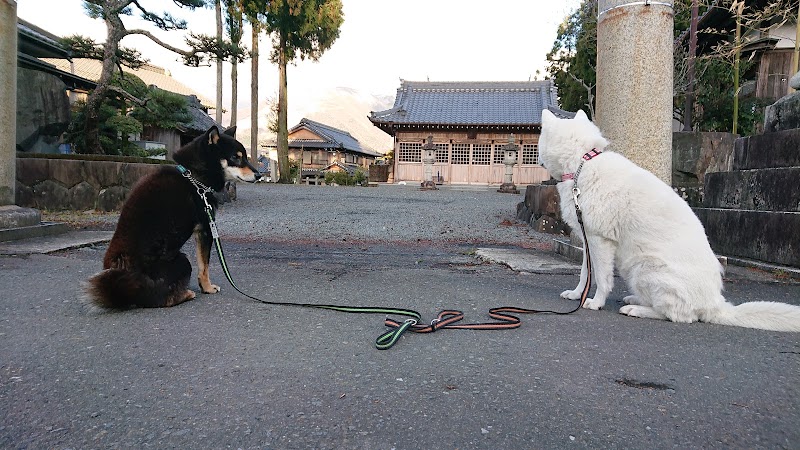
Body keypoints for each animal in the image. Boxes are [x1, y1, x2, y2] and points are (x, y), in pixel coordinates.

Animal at [87, 126, 262, 310]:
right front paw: (207, 288)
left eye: (244, 156)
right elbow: (204, 266)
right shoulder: (206, 228)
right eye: (236, 157)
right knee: (162, 299)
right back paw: (187, 294)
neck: (194, 177)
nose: (259, 175)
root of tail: (122, 290)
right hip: (183, 260)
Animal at [536, 110, 800, 330]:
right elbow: (584, 275)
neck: (583, 163)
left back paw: (636, 309)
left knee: (679, 316)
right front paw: (576, 295)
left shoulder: (600, 241)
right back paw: (635, 300)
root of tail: (715, 305)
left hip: (643, 267)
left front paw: (595, 302)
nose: (536, 160)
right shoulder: (588, 241)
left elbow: (602, 278)